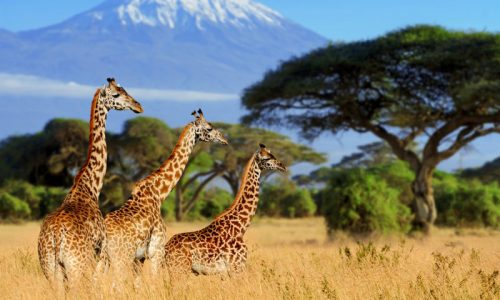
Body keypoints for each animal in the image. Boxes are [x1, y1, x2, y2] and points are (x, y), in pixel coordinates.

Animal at [36, 78, 143, 288]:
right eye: (116, 94)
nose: (138, 106)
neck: (89, 187)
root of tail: (55, 238)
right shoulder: (100, 251)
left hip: (50, 269)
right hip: (77, 266)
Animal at [102, 109, 229, 274]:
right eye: (209, 128)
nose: (224, 140)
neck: (159, 194)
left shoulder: (140, 258)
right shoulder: (157, 251)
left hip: (104, 258)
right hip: (121, 257)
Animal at [164, 144, 286, 276]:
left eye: (273, 155)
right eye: (266, 158)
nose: (282, 166)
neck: (241, 227)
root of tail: (165, 249)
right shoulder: (237, 268)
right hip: (180, 269)